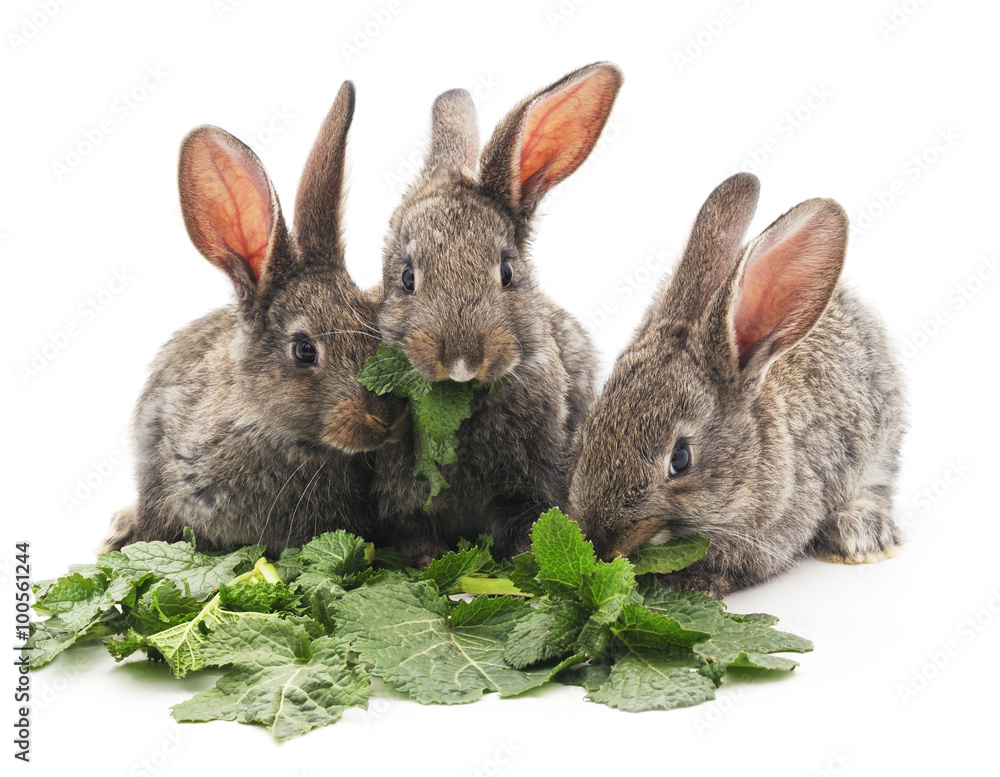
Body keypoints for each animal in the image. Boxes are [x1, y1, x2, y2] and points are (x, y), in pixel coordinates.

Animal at [370, 63, 624, 564]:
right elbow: (416, 531)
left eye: (507, 271)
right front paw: (430, 560)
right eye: (406, 277)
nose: (461, 359)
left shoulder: (532, 485)